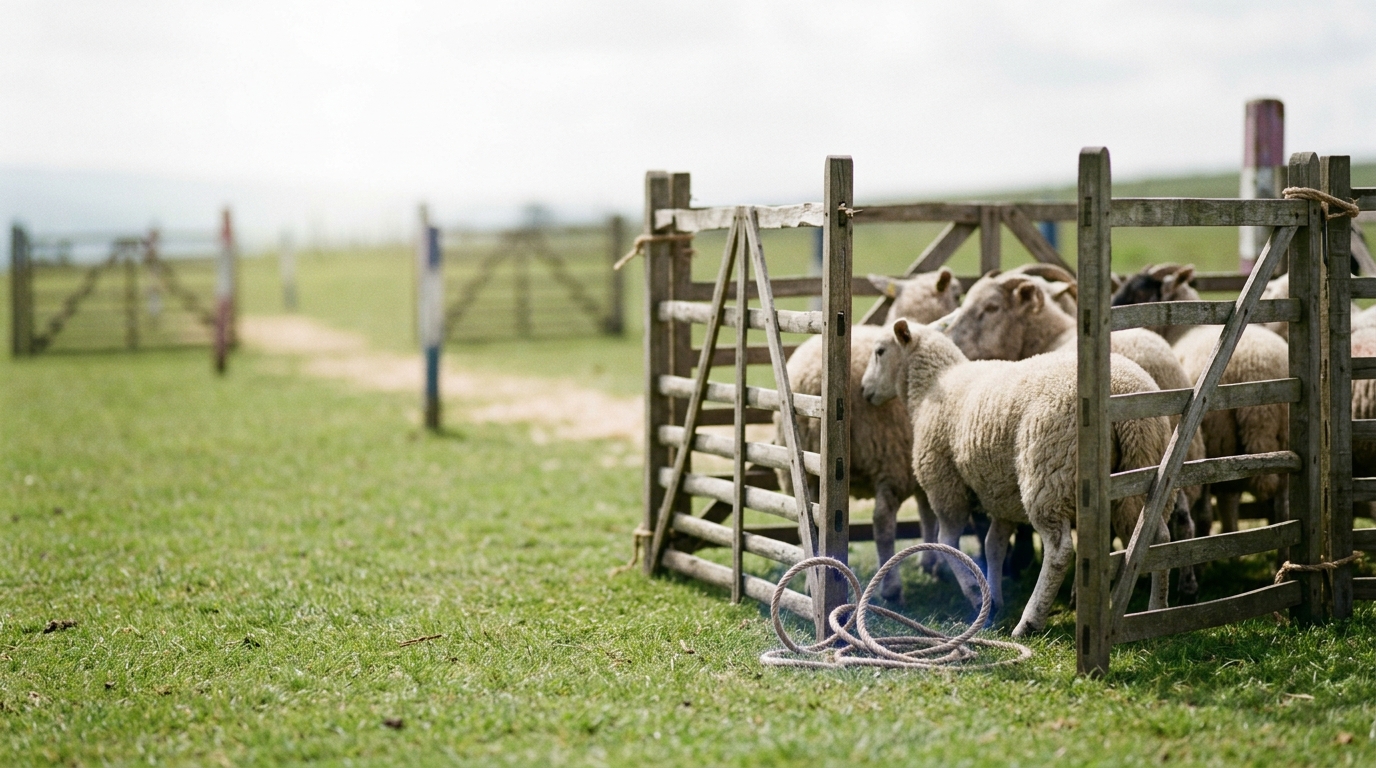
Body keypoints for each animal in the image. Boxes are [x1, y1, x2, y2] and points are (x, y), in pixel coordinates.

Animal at [776, 267, 962, 601]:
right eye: (958, 293)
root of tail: (812, 380)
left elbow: (927, 511)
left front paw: (930, 562)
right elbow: (928, 512)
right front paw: (933, 563)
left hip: (801, 469)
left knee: (808, 522)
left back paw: (810, 584)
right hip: (889, 454)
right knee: (883, 520)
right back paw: (890, 588)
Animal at [860, 318, 1172, 636]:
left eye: (879, 351)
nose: (863, 390)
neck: (934, 385)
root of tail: (1126, 397)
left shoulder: (945, 484)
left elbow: (947, 542)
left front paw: (975, 594)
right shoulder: (1002, 495)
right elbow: (993, 546)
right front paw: (993, 600)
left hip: (1048, 474)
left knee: (1059, 550)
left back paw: (1030, 621)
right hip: (1142, 472)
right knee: (1157, 538)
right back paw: (1156, 610)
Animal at [1112, 264, 1290, 533]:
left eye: (1139, 293)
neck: (1182, 329)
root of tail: (1261, 371)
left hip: (1220, 439)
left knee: (1224, 503)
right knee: (1279, 503)